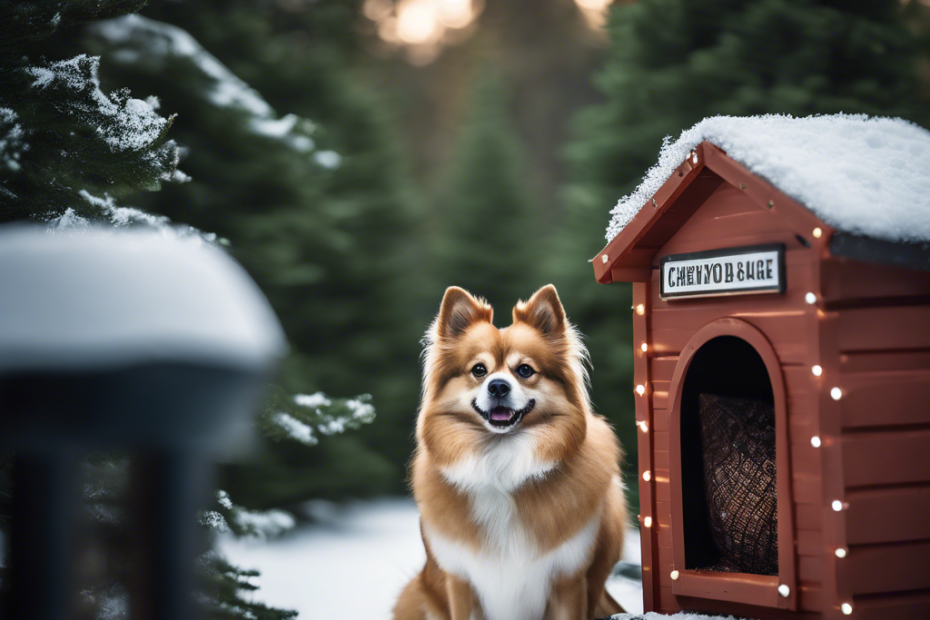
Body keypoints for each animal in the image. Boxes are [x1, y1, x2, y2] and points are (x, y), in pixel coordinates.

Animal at [392, 286, 624, 620]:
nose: (498, 386)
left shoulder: (569, 579)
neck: (501, 461)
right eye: (479, 370)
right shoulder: (460, 581)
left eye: (525, 370)